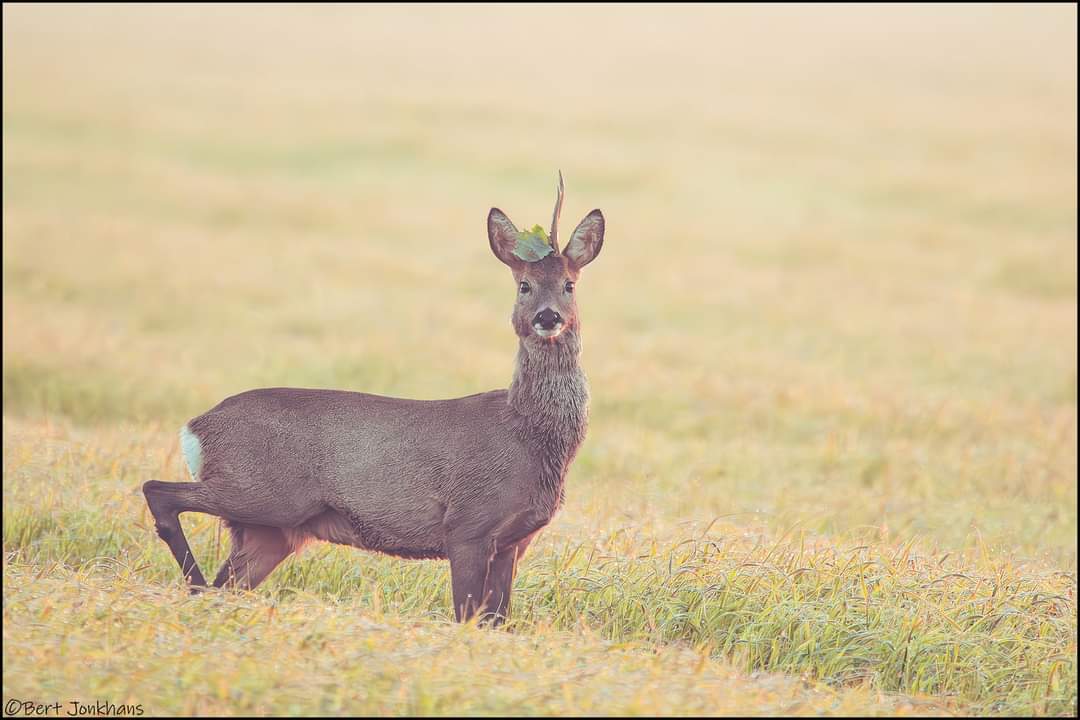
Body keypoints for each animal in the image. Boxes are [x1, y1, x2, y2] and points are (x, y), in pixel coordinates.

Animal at [139, 174, 604, 626]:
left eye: (569, 285)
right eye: (524, 285)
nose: (548, 316)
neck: (528, 435)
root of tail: (195, 427)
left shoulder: (514, 540)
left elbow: (497, 621)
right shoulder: (466, 523)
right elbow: (466, 616)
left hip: (269, 529)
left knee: (227, 580)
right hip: (260, 489)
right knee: (157, 490)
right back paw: (193, 582)